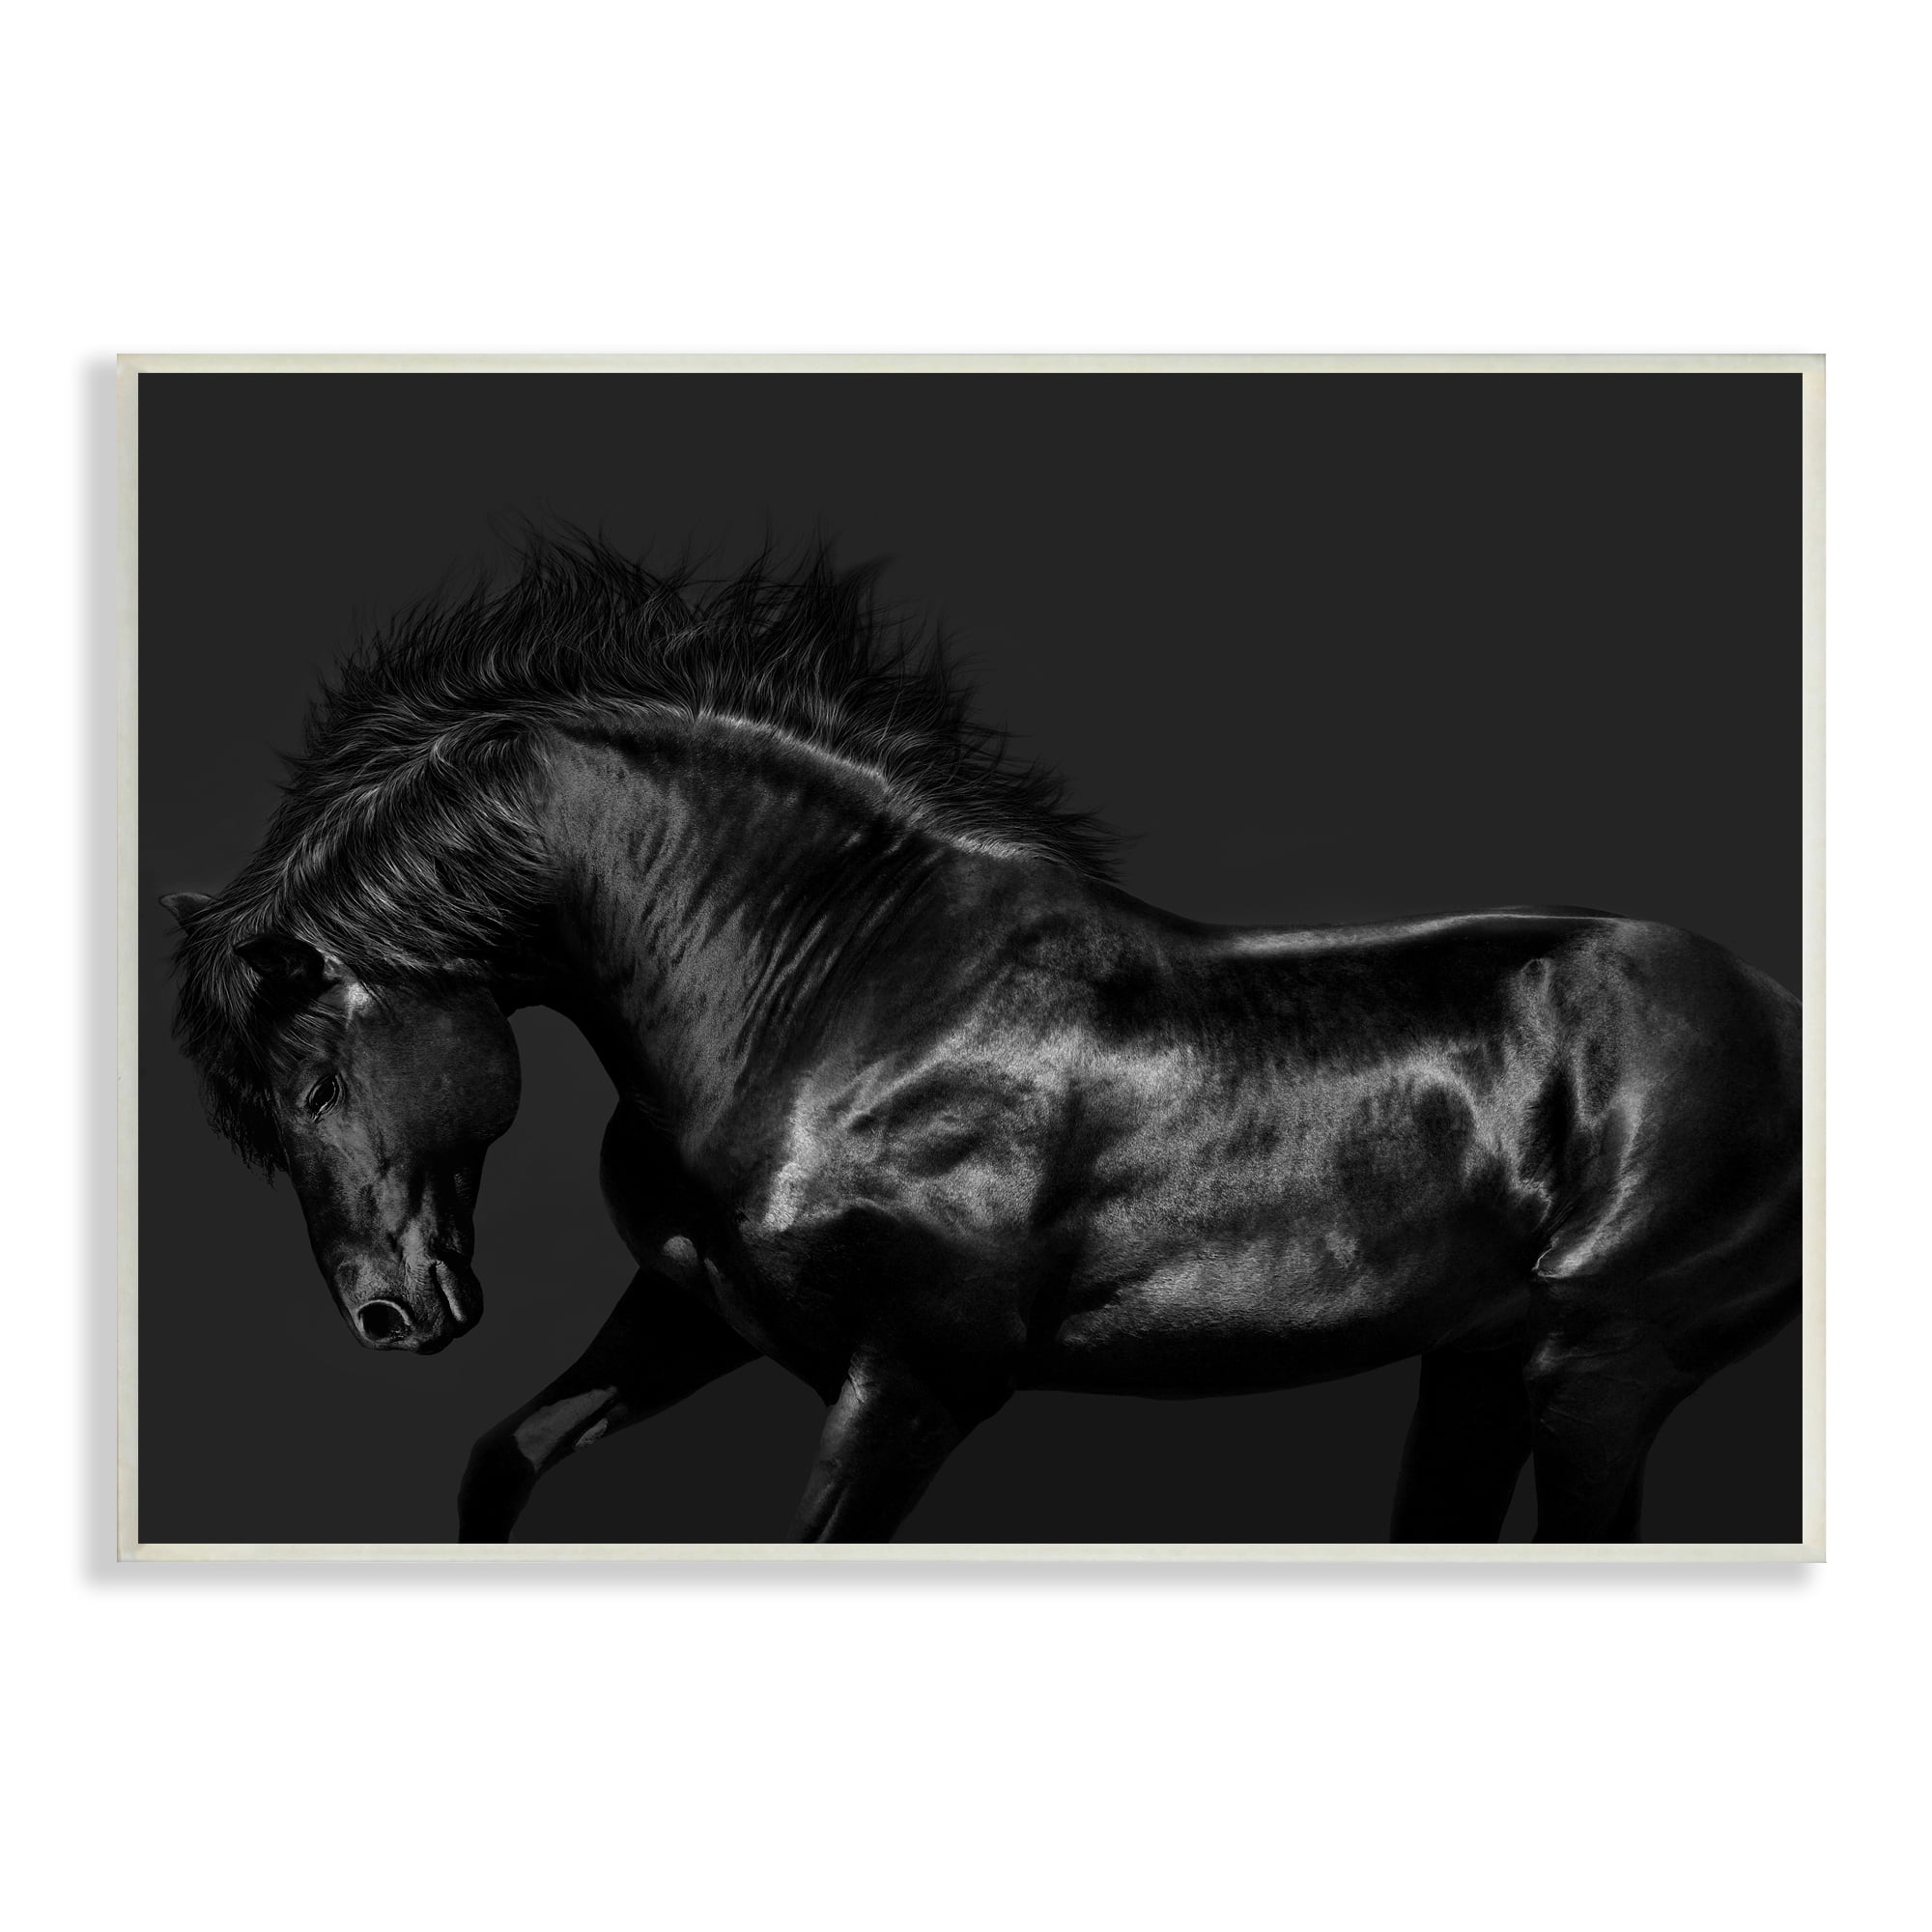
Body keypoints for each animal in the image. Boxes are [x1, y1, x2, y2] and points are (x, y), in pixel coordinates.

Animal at [162, 540, 1802, 1544]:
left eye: (314, 1082)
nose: (390, 1316)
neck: (839, 1004)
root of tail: (1775, 1012)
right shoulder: (691, 1315)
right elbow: (499, 1460)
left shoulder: (918, 1379)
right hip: (1475, 1369)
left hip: (1597, 1375)